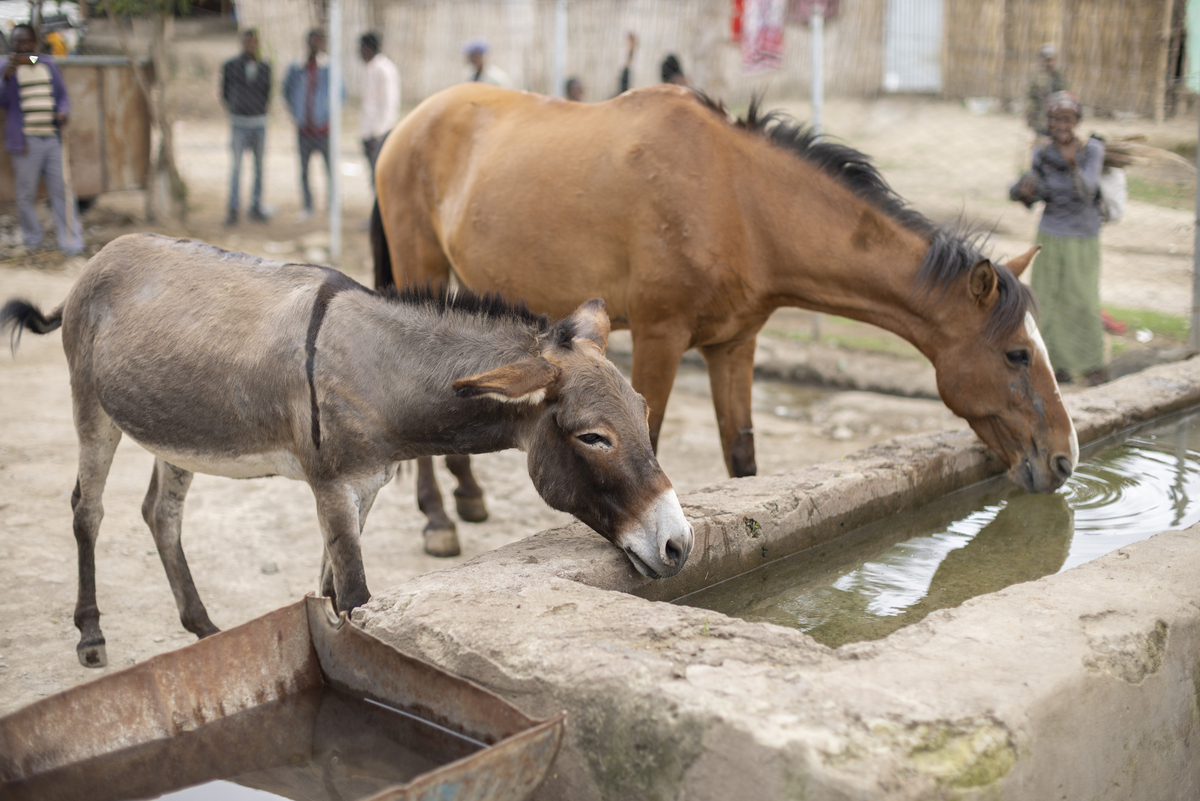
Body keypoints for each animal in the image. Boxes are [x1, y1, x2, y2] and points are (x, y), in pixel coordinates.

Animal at [0, 233, 693, 668]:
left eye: (644, 414)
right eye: (593, 437)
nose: (679, 545)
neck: (382, 370)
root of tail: (102, 254)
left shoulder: (367, 488)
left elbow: (332, 590)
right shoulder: (331, 487)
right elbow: (356, 596)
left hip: (178, 432)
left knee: (160, 515)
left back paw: (202, 628)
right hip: (92, 408)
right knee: (88, 511)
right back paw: (91, 634)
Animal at [371, 82, 1077, 556]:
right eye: (1017, 354)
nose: (1064, 459)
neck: (741, 202)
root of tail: (409, 123)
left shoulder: (734, 345)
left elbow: (743, 458)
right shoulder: (659, 336)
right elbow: (647, 433)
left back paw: (467, 495)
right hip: (420, 269)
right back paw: (437, 519)